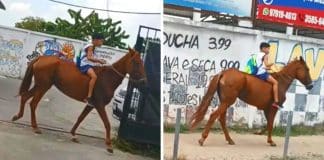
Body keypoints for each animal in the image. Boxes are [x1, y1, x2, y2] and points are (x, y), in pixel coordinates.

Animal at [11, 48, 146, 153]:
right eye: (137, 62)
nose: (144, 81)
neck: (107, 78)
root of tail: (41, 58)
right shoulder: (100, 105)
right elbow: (107, 123)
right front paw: (109, 145)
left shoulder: (91, 105)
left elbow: (80, 118)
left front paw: (73, 134)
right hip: (43, 86)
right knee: (33, 103)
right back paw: (35, 127)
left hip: (40, 85)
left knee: (25, 97)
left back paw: (17, 116)